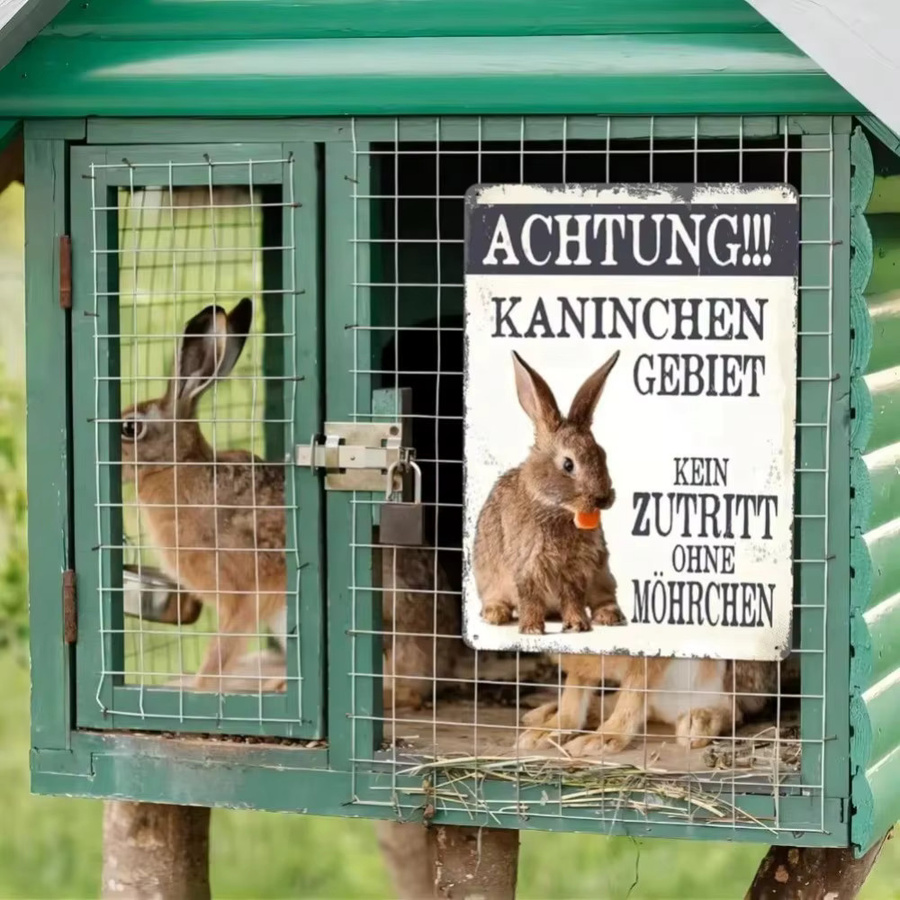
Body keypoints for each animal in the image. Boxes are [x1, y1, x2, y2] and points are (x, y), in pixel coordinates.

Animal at [472, 350, 627, 635]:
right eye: (568, 464)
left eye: (602, 455)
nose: (602, 499)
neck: (554, 510)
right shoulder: (527, 565)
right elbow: (530, 597)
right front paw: (532, 628)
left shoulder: (576, 570)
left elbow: (573, 596)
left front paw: (576, 625)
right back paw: (495, 614)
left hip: (603, 573)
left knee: (603, 596)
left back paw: (609, 616)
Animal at [518, 652, 779, 754]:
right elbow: (576, 685)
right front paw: (548, 731)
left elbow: (634, 688)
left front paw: (604, 740)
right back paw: (539, 715)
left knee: (733, 709)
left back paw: (697, 723)